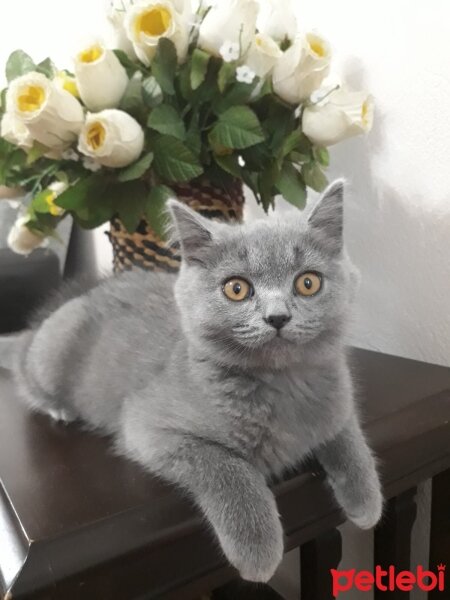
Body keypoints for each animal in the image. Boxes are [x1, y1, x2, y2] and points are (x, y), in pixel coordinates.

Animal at [2, 180, 384, 584]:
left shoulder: (336, 403)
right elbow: (226, 467)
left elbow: (348, 437)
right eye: (236, 289)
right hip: (52, 353)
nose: (277, 317)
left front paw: (366, 500)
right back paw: (58, 407)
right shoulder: (148, 429)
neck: (283, 384)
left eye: (308, 282)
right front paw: (258, 549)